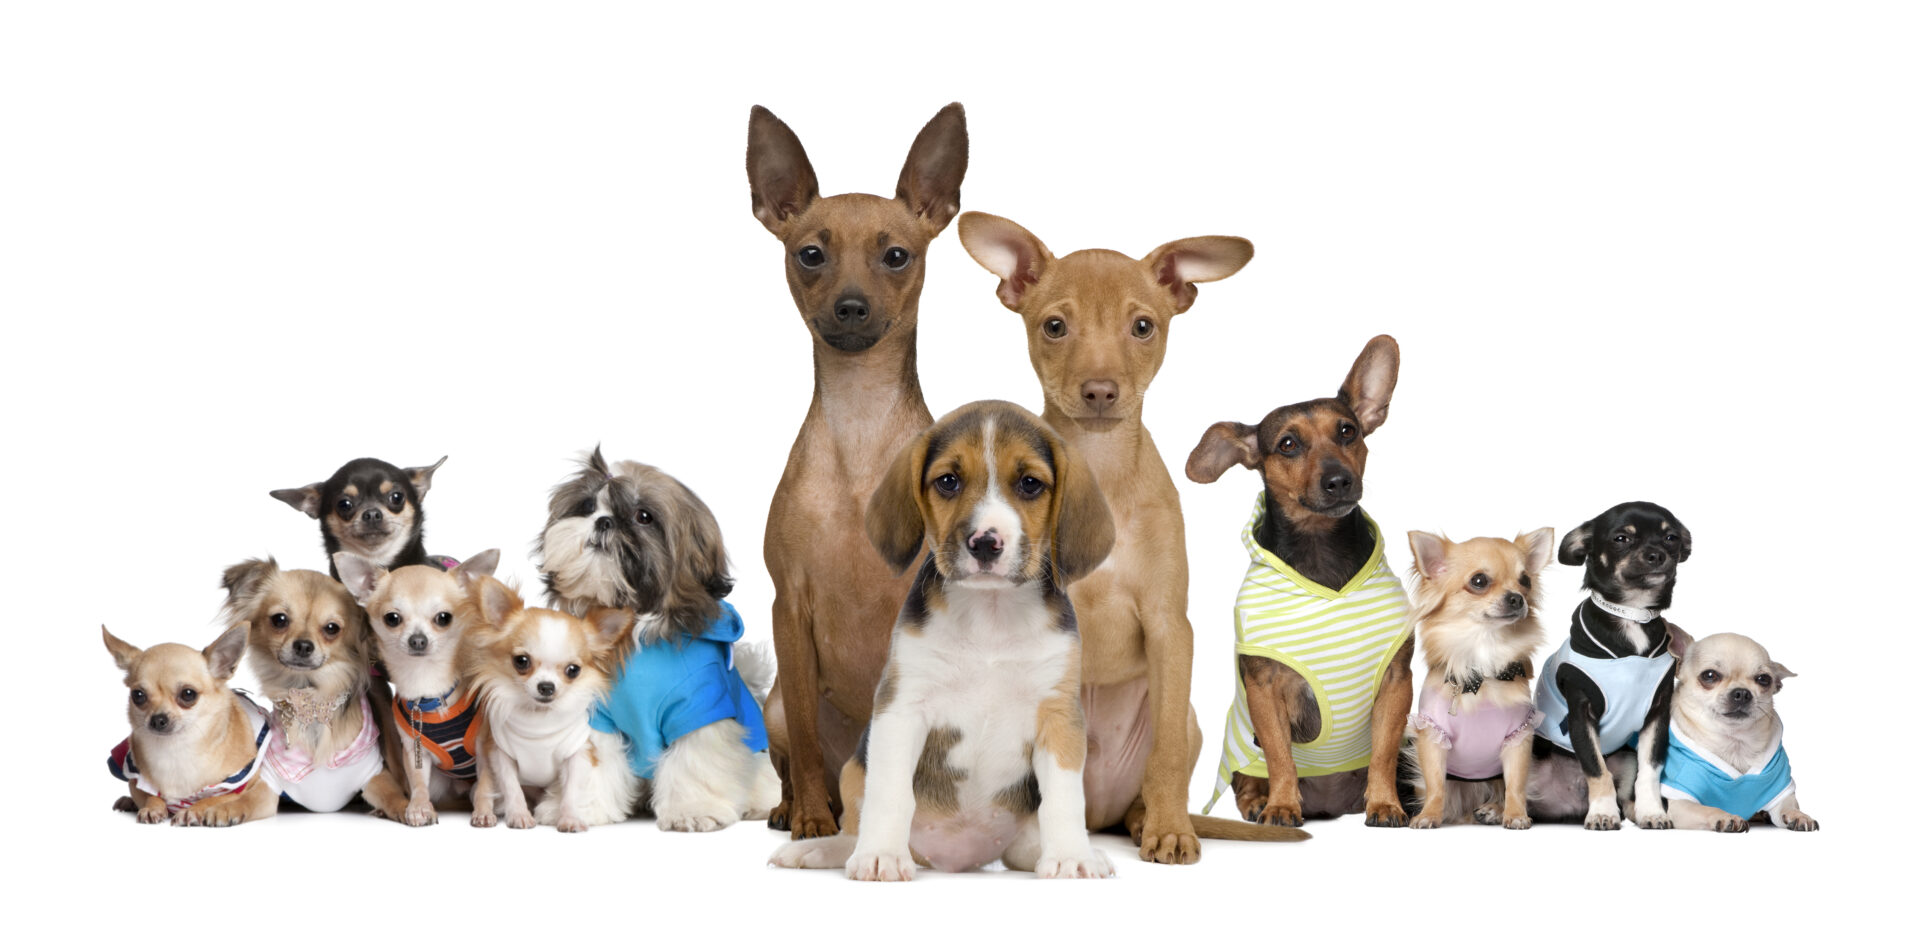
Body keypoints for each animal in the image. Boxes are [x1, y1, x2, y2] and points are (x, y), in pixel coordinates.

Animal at [741, 101, 967, 836]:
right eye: (810, 254)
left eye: (897, 256)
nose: (850, 306)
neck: (861, 427)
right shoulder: (790, 608)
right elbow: (811, 749)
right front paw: (811, 815)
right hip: (776, 704)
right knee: (797, 754)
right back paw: (796, 808)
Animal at [771, 402, 1121, 882]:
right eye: (948, 481)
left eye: (1030, 484)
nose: (986, 543)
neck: (990, 616)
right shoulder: (901, 707)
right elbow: (891, 794)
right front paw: (881, 855)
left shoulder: (1059, 716)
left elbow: (1065, 799)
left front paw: (1071, 856)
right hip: (852, 769)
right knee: (852, 831)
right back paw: (820, 850)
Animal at [960, 212, 1305, 867]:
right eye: (1055, 326)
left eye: (1143, 326)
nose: (1099, 390)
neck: (1103, 473)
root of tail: (1100, 814)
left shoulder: (1171, 627)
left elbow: (1165, 753)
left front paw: (1172, 831)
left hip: (1189, 714)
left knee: (1150, 778)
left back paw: (1151, 820)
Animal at [1182, 333, 1413, 824]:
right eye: (1287, 444)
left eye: (1348, 431)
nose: (1339, 480)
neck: (1319, 549)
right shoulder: (1263, 690)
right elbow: (1279, 754)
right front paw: (1282, 804)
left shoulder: (1396, 684)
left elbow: (1382, 752)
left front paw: (1385, 802)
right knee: (1247, 776)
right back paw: (1258, 802)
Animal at [1405, 529, 1551, 828]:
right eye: (1479, 581)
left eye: (1525, 581)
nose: (1517, 597)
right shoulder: (1432, 736)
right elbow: (1436, 785)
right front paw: (1429, 815)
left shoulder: (1519, 737)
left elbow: (1515, 784)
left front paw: (1515, 815)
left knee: (1500, 788)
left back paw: (1494, 809)